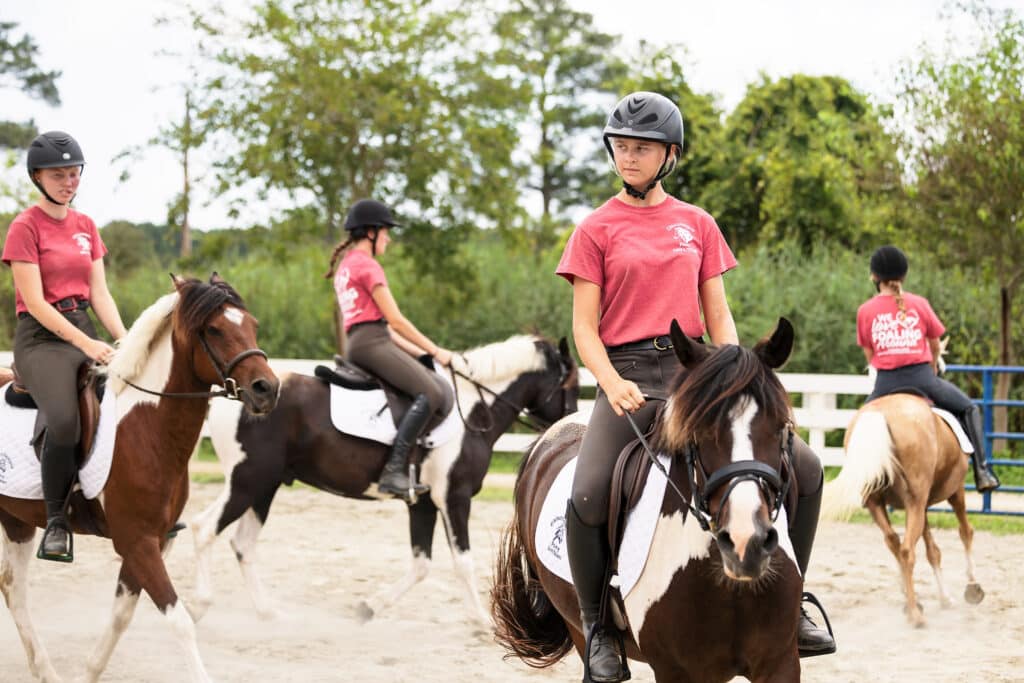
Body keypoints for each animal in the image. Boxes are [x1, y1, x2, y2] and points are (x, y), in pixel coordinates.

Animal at [0, 274, 280, 683]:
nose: (267, 389)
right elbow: (180, 620)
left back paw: (46, 671)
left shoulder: (150, 541)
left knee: (13, 589)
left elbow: (121, 615)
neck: (148, 428)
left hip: (16, 519)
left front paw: (89, 673)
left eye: (252, 325)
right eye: (214, 329)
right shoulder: (137, 541)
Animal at [491, 321, 802, 683]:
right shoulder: (676, 670)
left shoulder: (780, 662)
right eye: (698, 432)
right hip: (579, 630)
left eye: (780, 426)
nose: (745, 544)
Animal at [819, 393, 978, 626]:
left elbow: (933, 551)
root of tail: (877, 413)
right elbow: (965, 532)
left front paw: (945, 598)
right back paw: (915, 615)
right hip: (916, 501)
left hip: (878, 503)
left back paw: (912, 601)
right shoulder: (954, 491)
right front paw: (973, 586)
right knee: (906, 550)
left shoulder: (921, 505)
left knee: (893, 541)